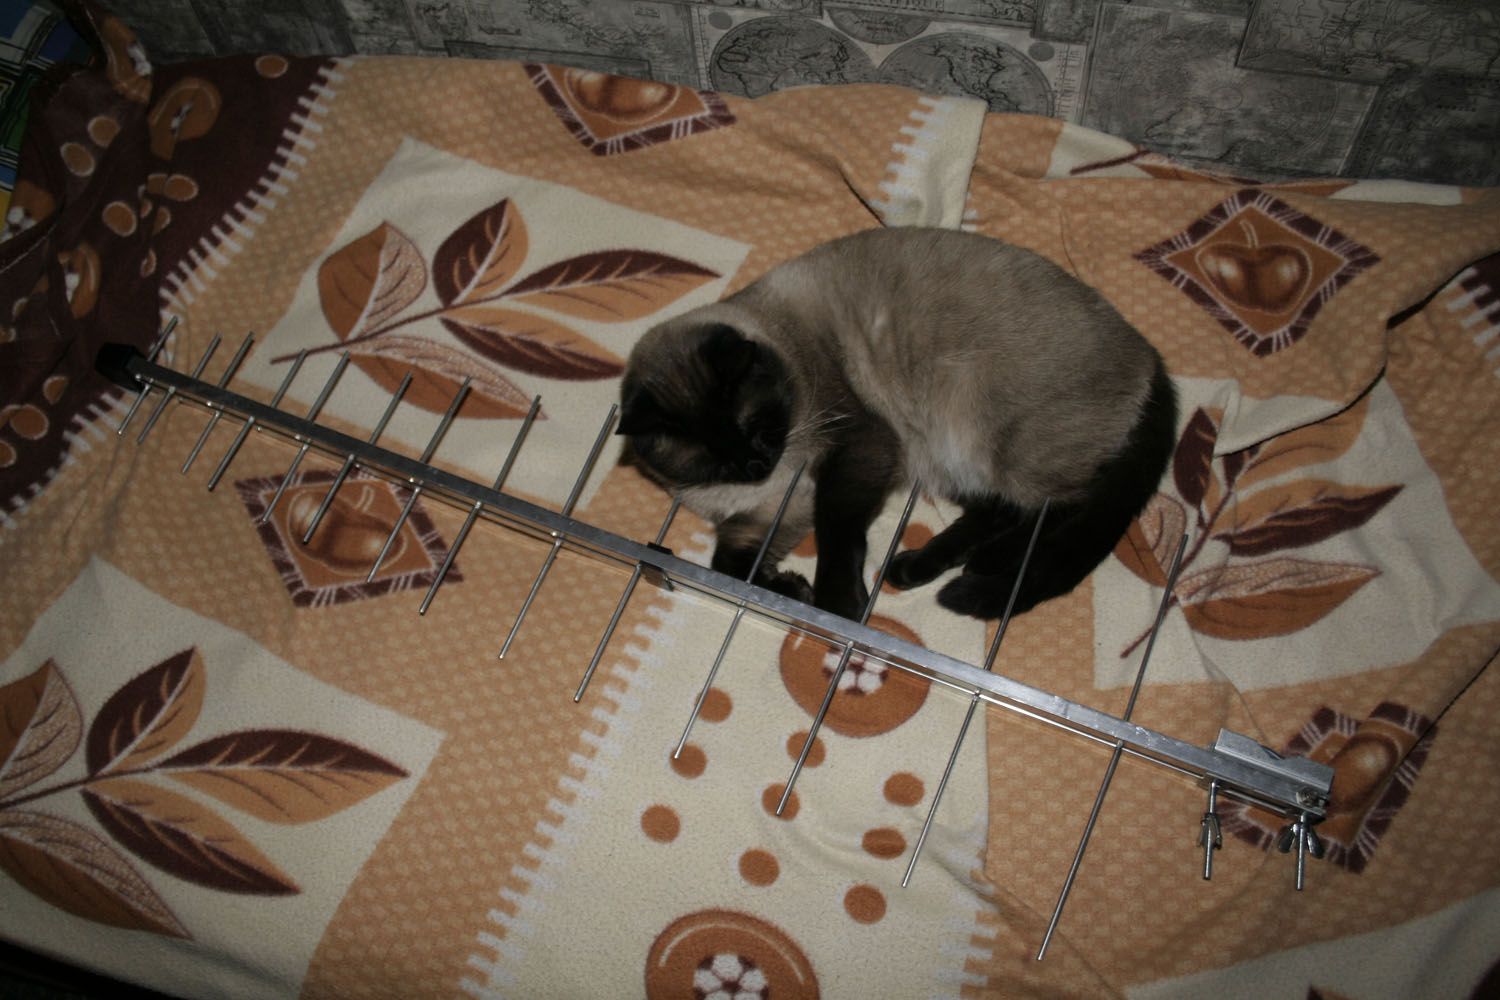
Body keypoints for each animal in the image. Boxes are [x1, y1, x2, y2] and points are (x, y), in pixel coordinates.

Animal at [616, 227, 1177, 621]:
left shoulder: (854, 450)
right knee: (1002, 511)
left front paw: (837, 604)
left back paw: (985, 566)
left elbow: (837, 532)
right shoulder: (774, 510)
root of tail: (1152, 358)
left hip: (983, 438)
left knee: (1063, 510)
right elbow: (731, 563)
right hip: (948, 460)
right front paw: (791, 589)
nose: (757, 464)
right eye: (714, 457)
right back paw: (916, 567)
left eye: (755, 427)